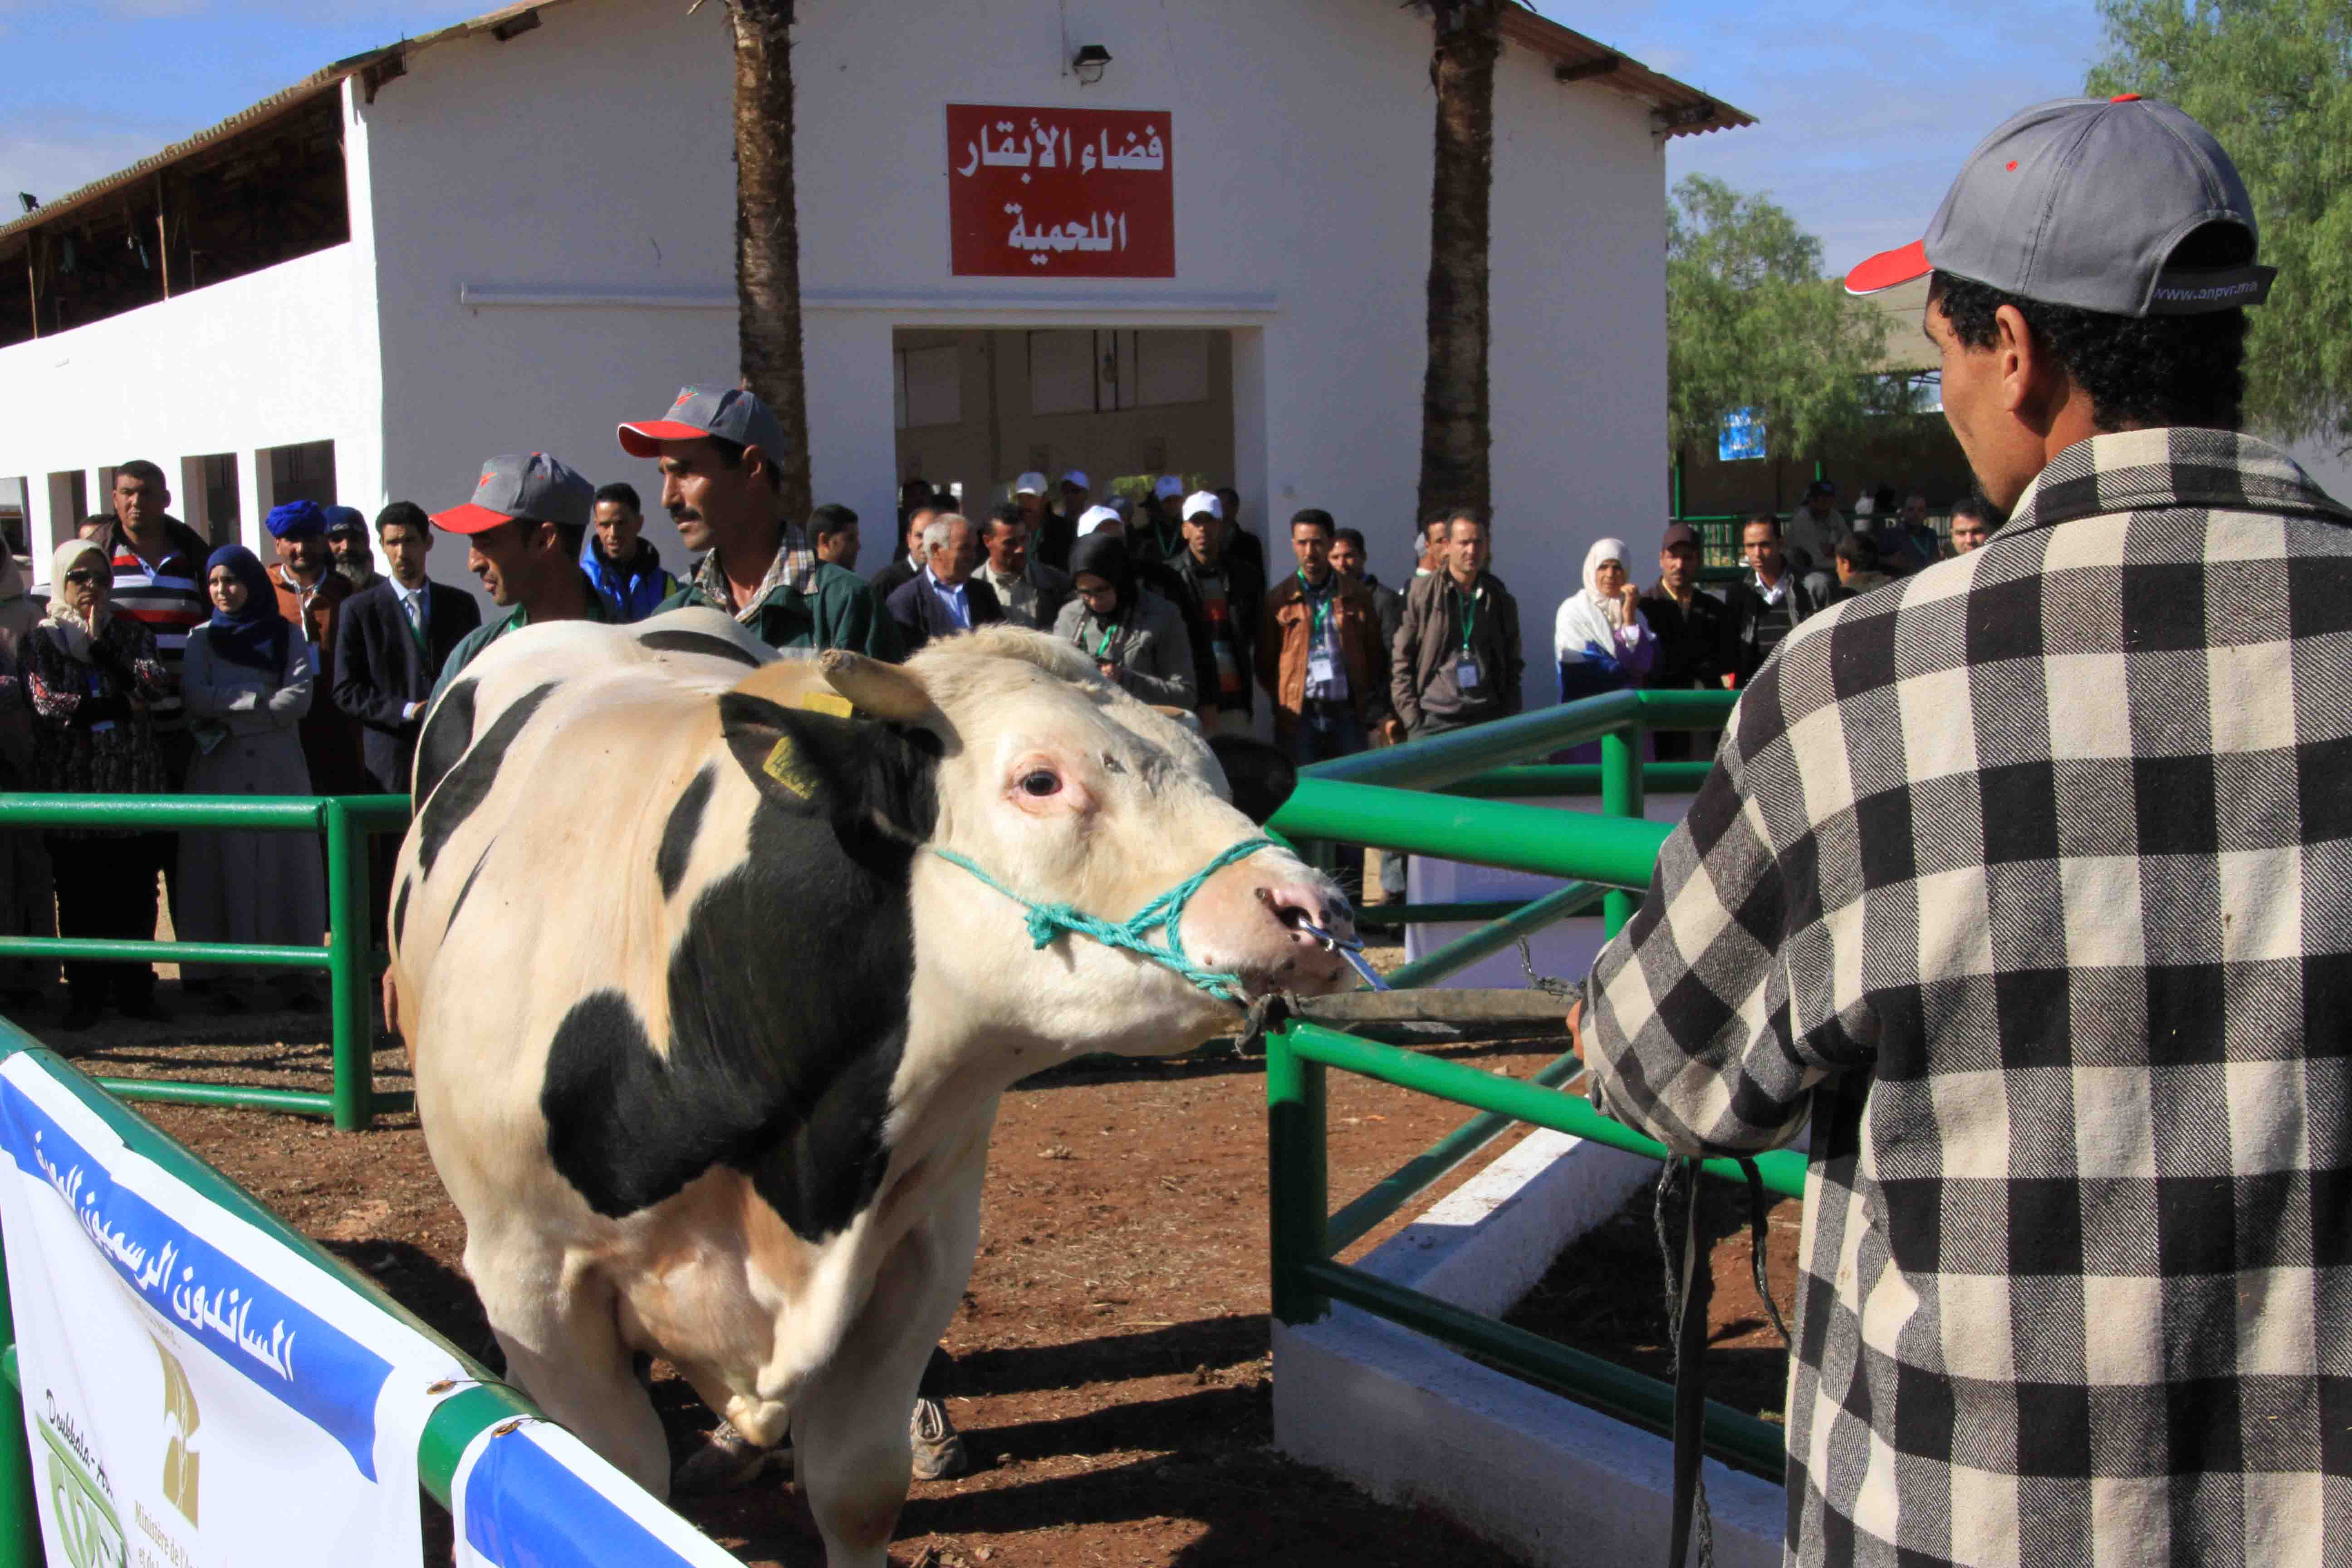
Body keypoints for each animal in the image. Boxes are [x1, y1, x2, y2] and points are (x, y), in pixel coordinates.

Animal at [390, 611, 1364, 1568]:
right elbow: (605, 1484)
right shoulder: (531, 1277)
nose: (1314, 910)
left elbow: (856, 1489)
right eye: (1039, 780)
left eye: (1215, 777)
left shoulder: (916, 1254)